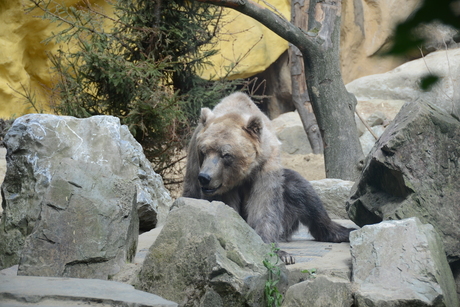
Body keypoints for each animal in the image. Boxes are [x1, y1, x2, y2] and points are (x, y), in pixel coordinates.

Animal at [181, 93, 354, 264]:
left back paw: (344, 232)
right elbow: (225, 209)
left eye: (226, 154)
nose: (205, 177)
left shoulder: (266, 163)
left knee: (304, 194)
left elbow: (264, 203)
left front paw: (281, 254)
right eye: (203, 151)